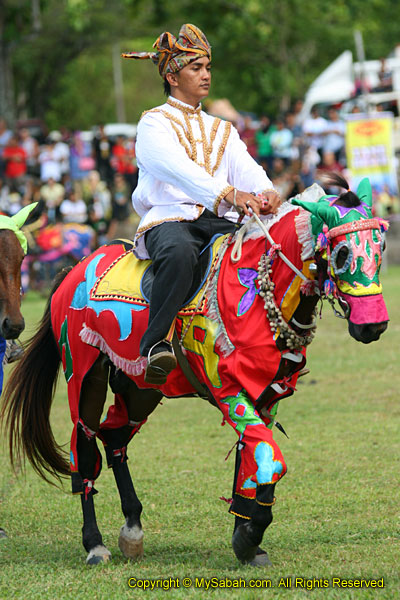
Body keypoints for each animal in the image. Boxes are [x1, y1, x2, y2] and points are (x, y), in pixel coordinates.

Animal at [0, 176, 388, 564]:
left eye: (381, 246)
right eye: (341, 253)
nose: (374, 325)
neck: (256, 293)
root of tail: (76, 270)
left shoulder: (267, 396)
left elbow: (250, 464)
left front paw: (246, 536)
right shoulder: (229, 389)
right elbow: (270, 460)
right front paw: (250, 535)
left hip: (141, 386)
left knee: (115, 437)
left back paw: (132, 528)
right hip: (84, 376)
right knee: (85, 448)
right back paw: (95, 543)